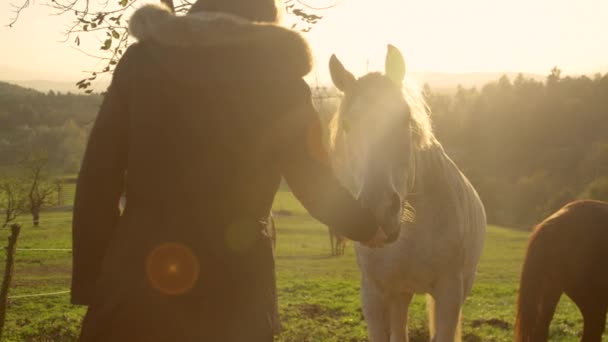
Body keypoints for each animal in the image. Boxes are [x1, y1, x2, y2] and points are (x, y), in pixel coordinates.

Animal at [326, 44, 486, 340]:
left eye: (404, 119)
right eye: (347, 125)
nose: (377, 213)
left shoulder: (449, 294)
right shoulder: (374, 294)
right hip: (401, 292)